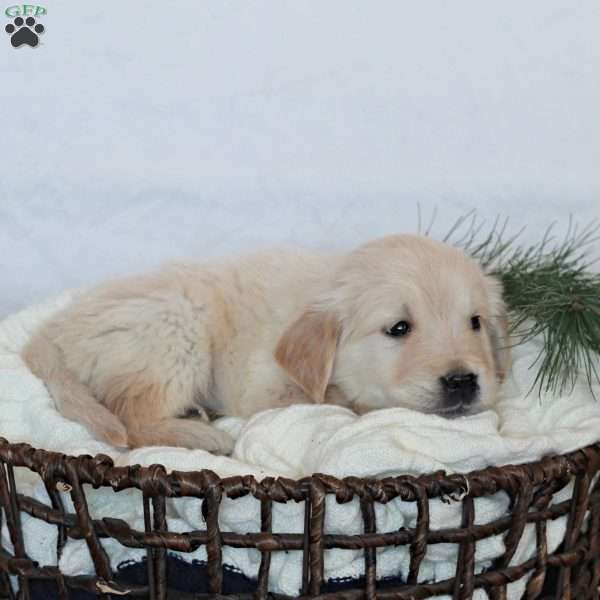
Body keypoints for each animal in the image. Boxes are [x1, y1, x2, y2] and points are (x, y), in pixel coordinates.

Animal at [23, 237, 510, 452]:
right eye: (399, 328)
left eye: (475, 322)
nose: (463, 381)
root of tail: (54, 329)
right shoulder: (265, 391)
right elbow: (341, 402)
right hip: (177, 325)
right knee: (134, 418)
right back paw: (201, 434)